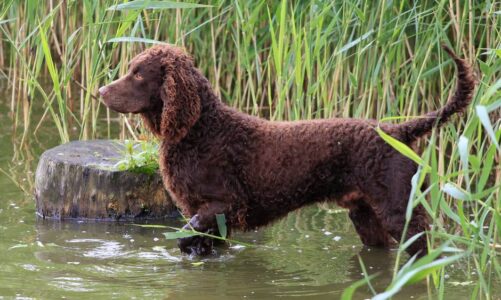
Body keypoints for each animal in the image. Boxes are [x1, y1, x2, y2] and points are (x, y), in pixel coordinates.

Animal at [99, 44, 474, 255]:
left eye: (138, 74)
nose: (100, 91)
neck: (200, 129)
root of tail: (397, 130)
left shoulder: (225, 204)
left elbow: (185, 235)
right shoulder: (209, 214)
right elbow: (198, 243)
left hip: (400, 211)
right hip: (366, 216)